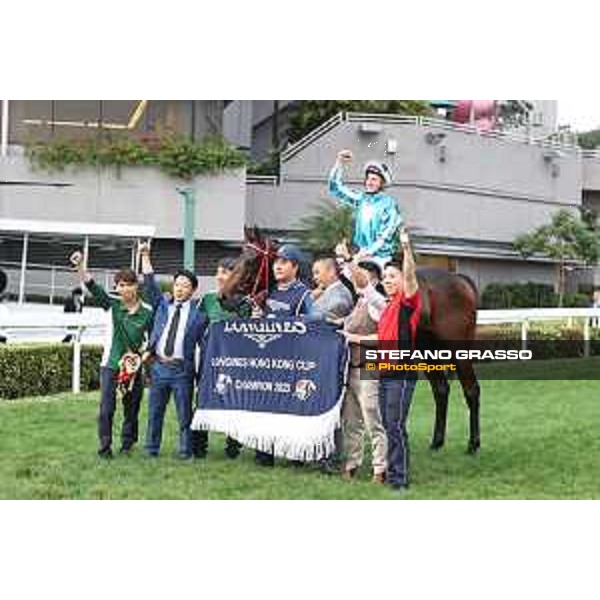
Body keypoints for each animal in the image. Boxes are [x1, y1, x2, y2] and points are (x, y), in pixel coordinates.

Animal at [223, 227, 480, 452]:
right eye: (238, 257)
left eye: (251, 260)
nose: (224, 296)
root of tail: (460, 280)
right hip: (428, 351)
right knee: (441, 390)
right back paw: (437, 442)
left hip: (457, 351)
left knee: (471, 390)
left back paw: (473, 444)